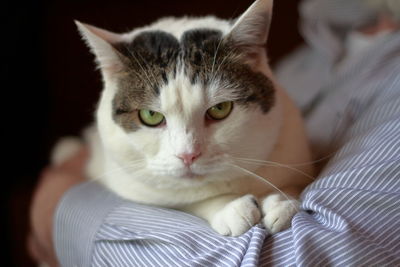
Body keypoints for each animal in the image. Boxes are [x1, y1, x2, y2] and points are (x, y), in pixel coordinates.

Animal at [53, 0, 314, 237]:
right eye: (150, 115)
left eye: (220, 109)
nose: (188, 155)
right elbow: (187, 200)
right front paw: (230, 206)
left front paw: (282, 201)